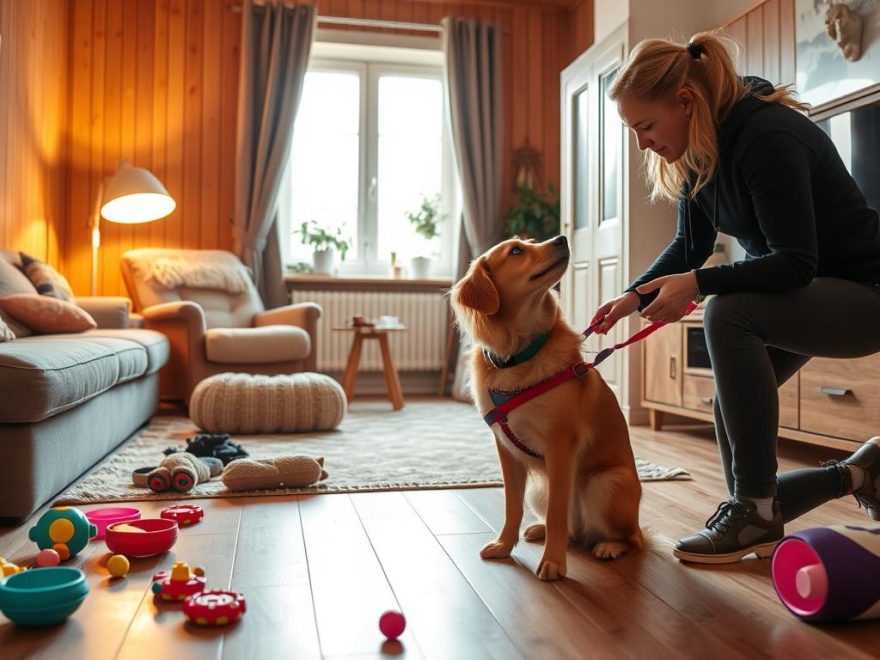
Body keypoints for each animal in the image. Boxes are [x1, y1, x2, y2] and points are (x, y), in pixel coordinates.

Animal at [450, 235, 644, 580]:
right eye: (516, 250)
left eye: (529, 242)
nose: (562, 237)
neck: (518, 355)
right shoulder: (507, 451)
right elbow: (512, 506)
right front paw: (504, 544)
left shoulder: (560, 447)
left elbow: (557, 514)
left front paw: (553, 562)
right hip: (540, 490)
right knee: (573, 532)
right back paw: (539, 530)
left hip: (605, 483)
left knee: (631, 539)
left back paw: (609, 546)